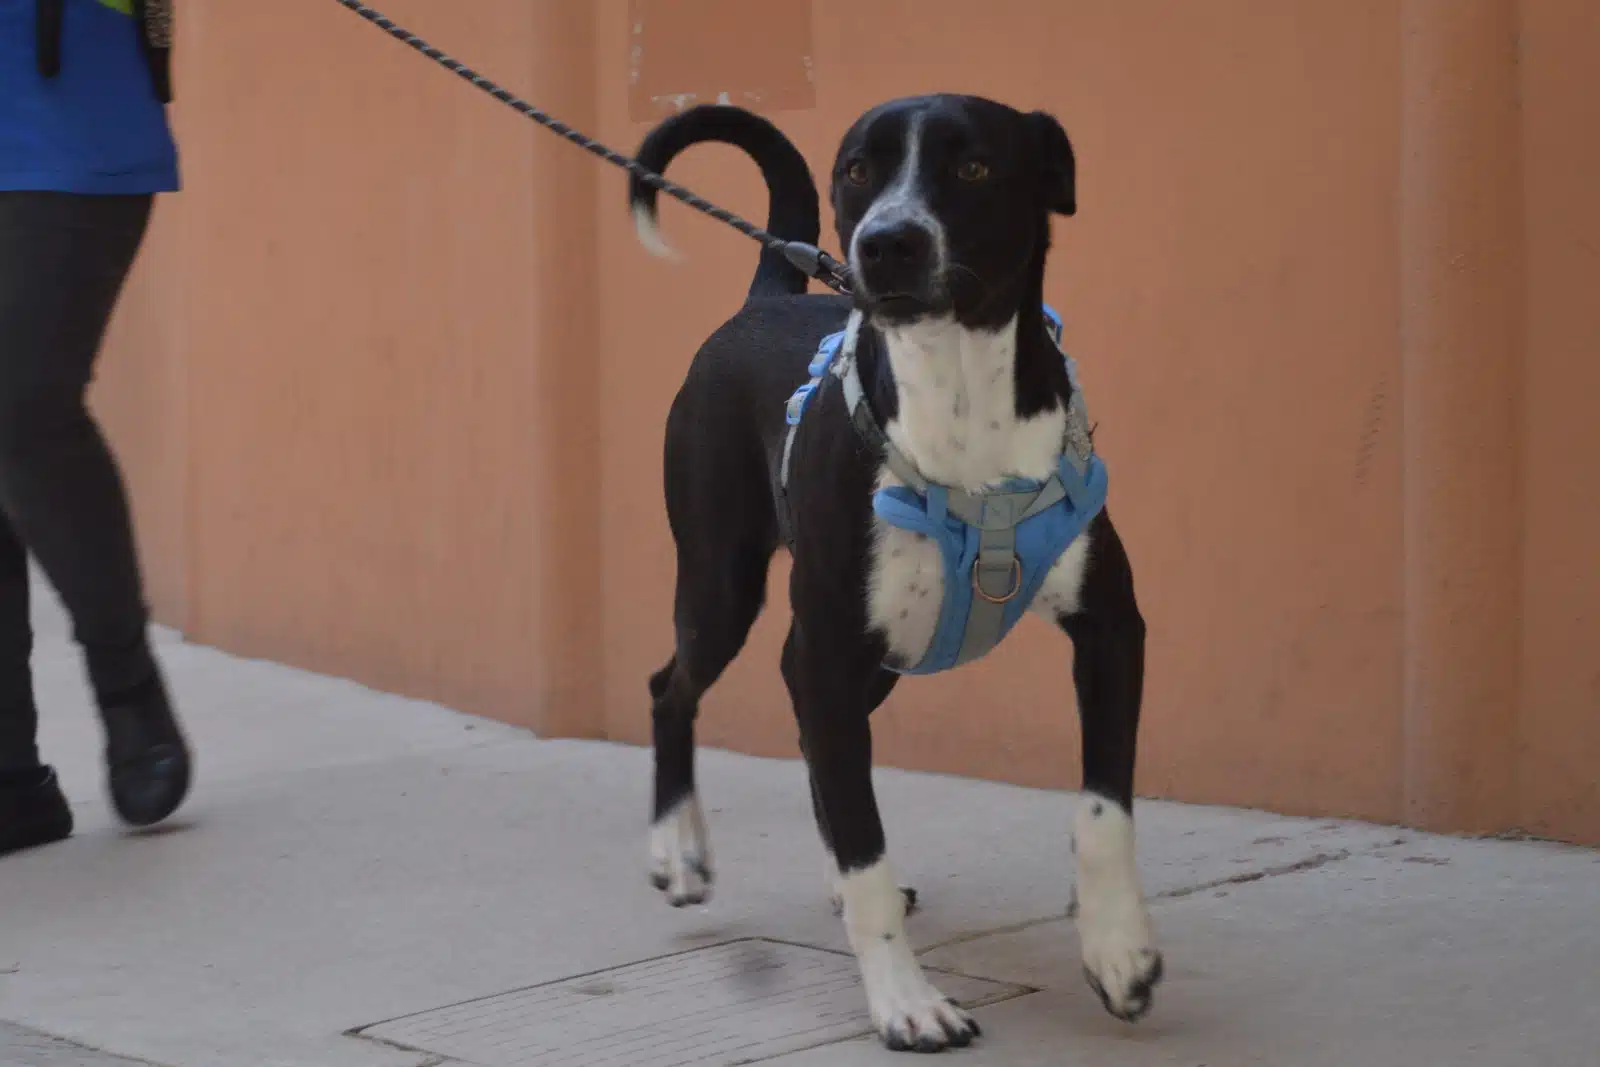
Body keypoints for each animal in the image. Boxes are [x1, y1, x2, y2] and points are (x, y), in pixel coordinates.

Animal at [624, 97, 1164, 1049]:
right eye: (855, 170)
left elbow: (1104, 811)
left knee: (803, 719)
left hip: (881, 655)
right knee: (672, 686)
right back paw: (679, 849)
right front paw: (906, 1001)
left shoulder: (1110, 630)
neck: (957, 396)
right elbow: (867, 848)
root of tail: (769, 297)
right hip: (726, 583)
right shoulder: (829, 648)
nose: (885, 243)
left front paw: (1118, 950)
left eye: (976, 165)